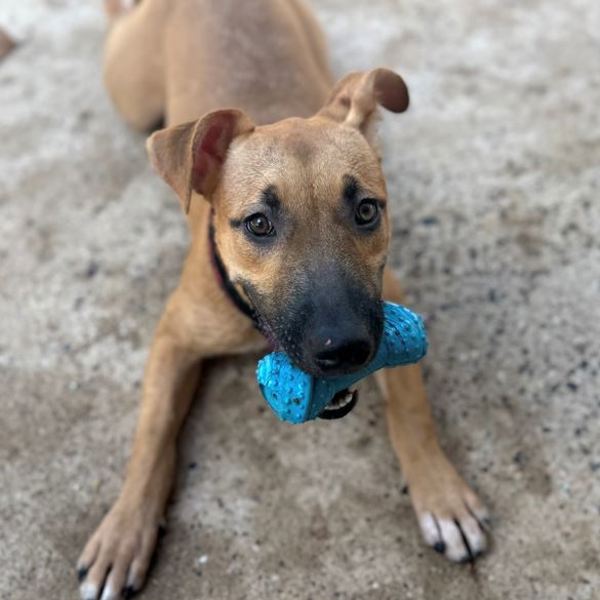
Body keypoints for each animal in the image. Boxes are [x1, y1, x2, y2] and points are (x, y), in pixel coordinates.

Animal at [77, 1, 490, 598]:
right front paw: (122, 532)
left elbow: (412, 409)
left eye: (367, 210)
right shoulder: (173, 336)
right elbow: (152, 434)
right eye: (258, 223)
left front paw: (443, 495)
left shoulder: (392, 300)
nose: (346, 350)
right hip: (130, 92)